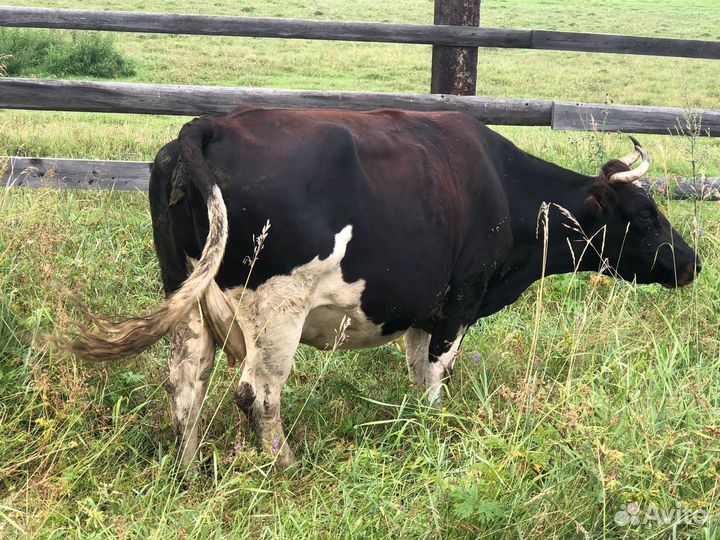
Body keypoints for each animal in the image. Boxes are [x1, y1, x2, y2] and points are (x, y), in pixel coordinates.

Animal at [55, 107, 701, 469]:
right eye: (647, 214)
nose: (692, 263)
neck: (501, 187)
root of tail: (209, 125)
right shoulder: (456, 304)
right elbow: (435, 376)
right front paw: (433, 433)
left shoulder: (422, 310)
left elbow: (419, 372)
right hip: (277, 309)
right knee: (257, 394)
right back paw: (285, 465)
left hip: (185, 297)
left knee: (186, 384)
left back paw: (188, 472)